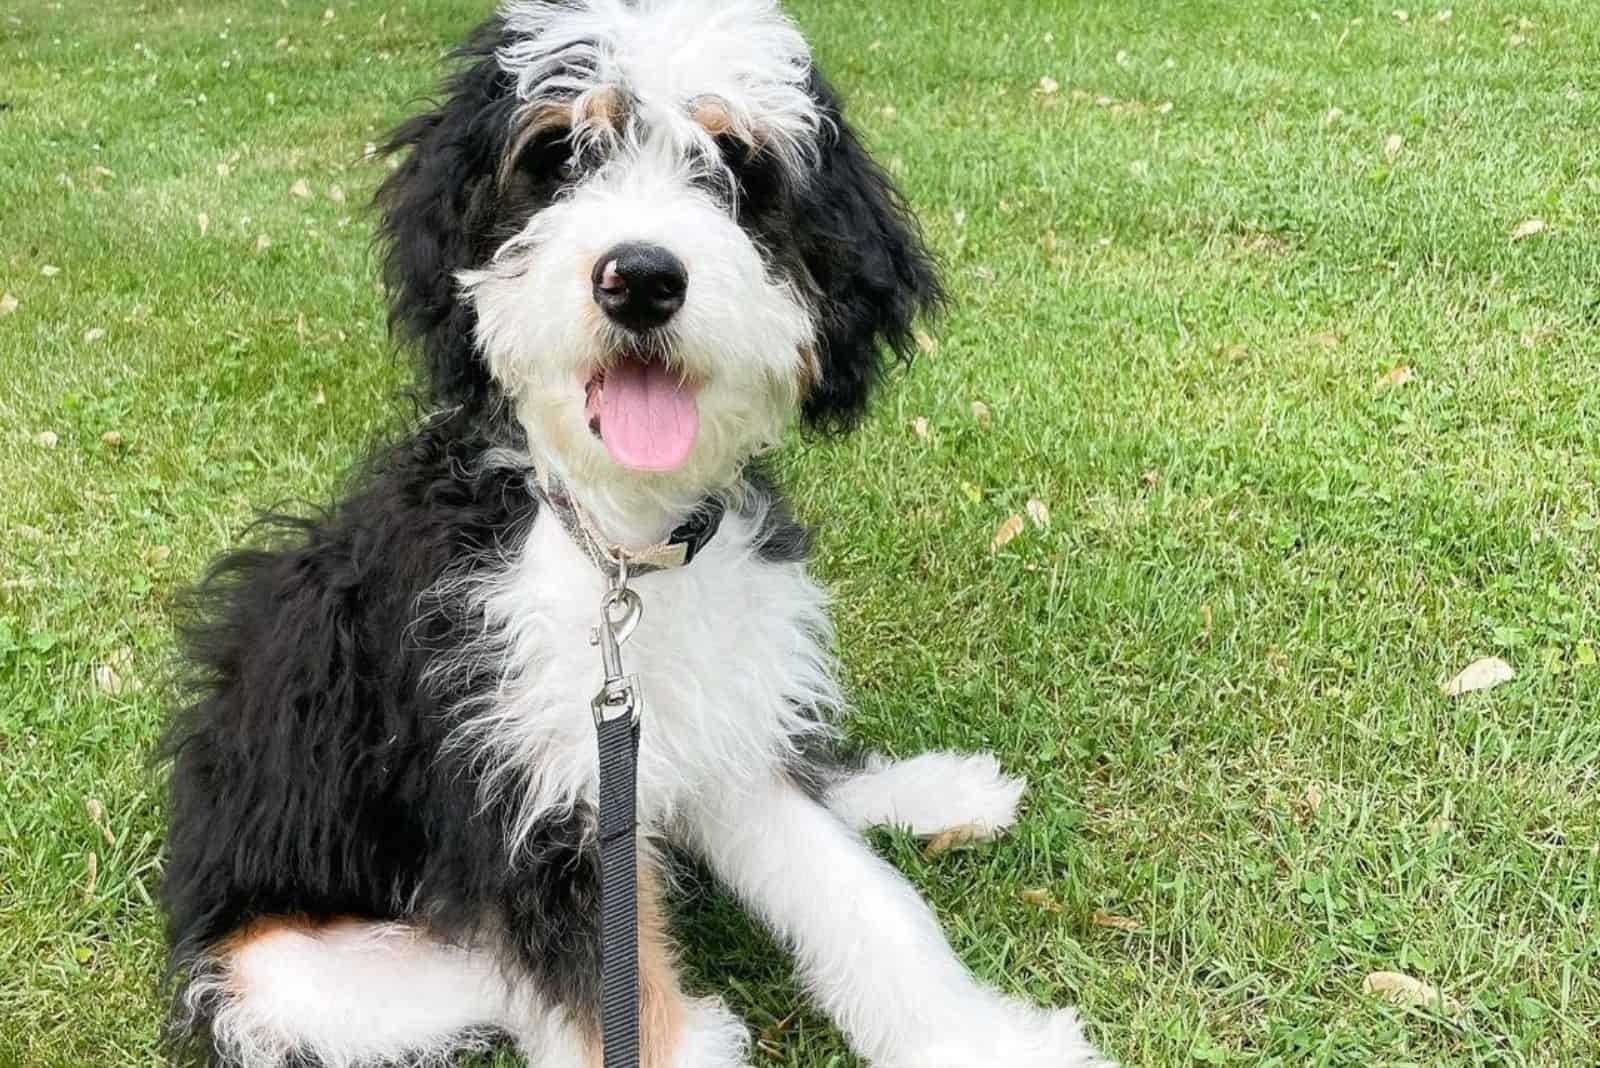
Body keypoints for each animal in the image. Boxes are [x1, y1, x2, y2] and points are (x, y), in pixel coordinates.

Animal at [162, 2, 1113, 1068]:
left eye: (737, 163)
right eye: (556, 153)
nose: (642, 279)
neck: (621, 548)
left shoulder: (716, 735)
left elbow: (864, 901)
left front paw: (974, 1037)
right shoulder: (527, 799)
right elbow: (612, 995)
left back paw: (936, 792)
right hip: (296, 980)